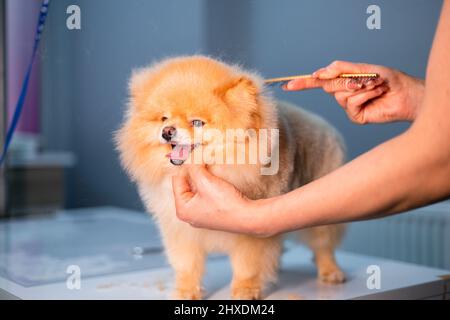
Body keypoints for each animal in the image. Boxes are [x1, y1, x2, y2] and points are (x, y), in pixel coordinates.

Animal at [115, 55, 344, 300]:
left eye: (197, 122)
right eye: (163, 118)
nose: (167, 131)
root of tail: (325, 126)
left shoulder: (250, 232)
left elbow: (248, 266)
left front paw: (246, 290)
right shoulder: (181, 230)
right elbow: (187, 265)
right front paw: (186, 291)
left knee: (323, 245)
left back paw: (331, 271)